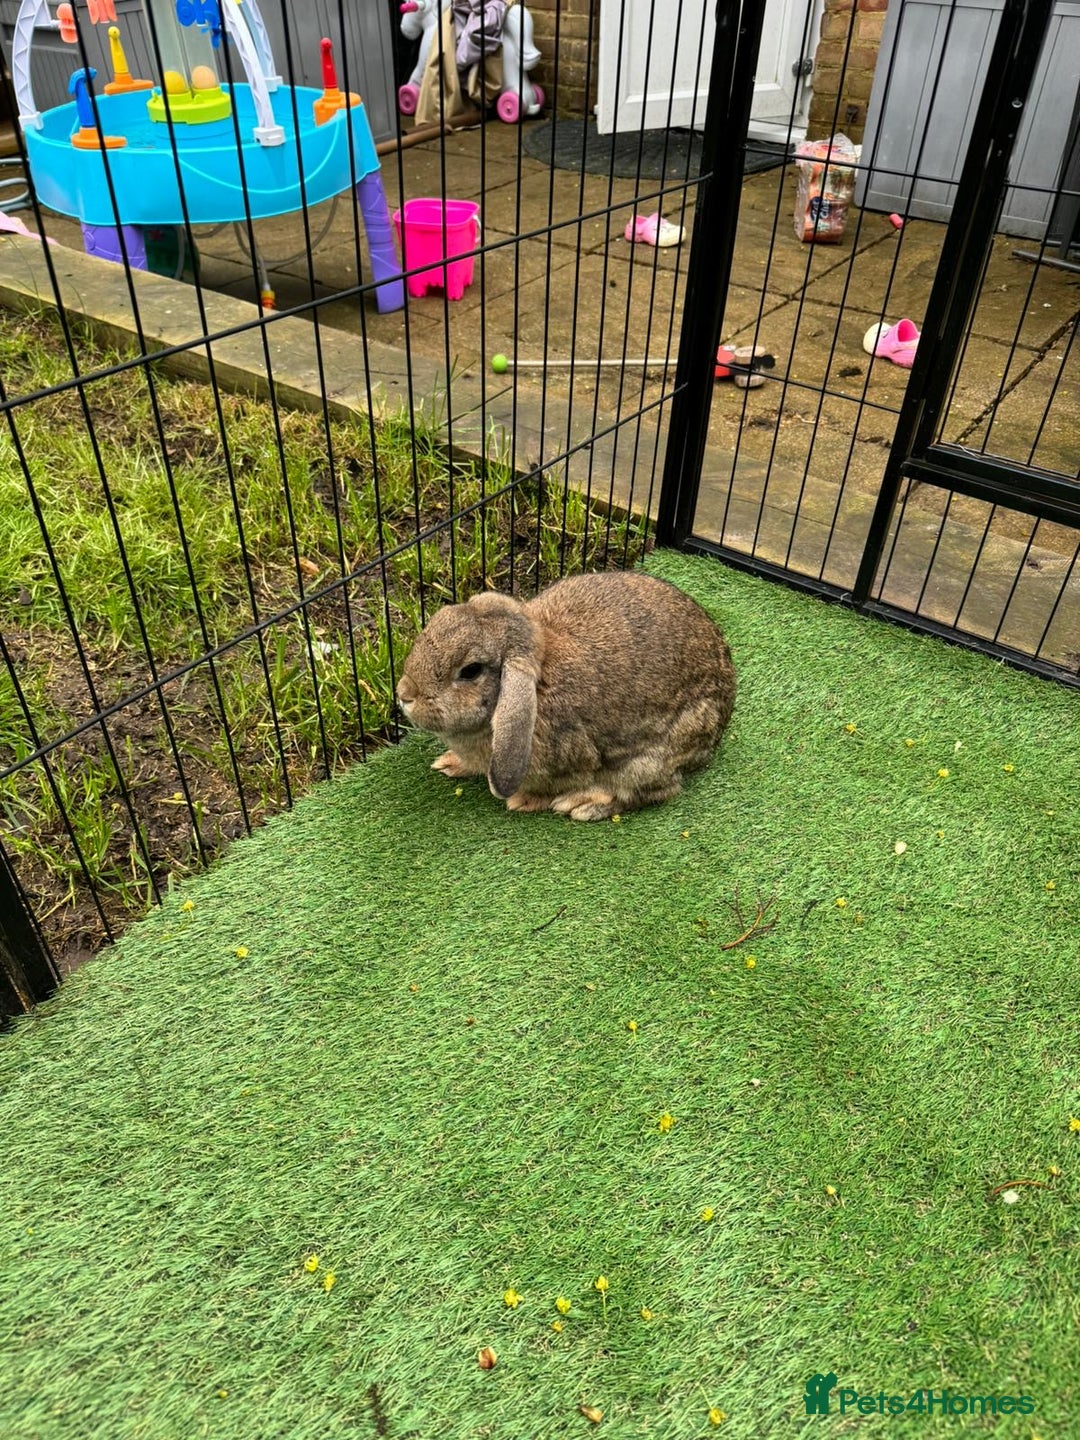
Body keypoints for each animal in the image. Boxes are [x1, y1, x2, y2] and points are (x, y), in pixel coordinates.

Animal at [396, 570, 735, 821]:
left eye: (470, 671)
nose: (404, 694)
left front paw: (525, 801)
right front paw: (448, 763)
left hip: (649, 760)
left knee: (656, 790)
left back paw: (584, 806)